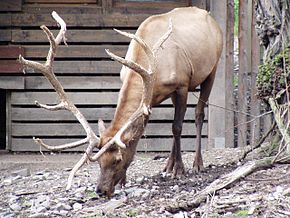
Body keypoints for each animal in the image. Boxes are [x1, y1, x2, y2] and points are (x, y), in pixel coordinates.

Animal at [18, 7, 222, 198]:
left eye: (117, 159)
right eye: (99, 161)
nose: (101, 190)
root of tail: (212, 19)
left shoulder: (181, 85)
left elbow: (177, 127)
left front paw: (179, 169)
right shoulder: (148, 100)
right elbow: (140, 131)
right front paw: (125, 180)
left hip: (212, 70)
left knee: (198, 114)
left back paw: (197, 163)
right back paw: (168, 165)